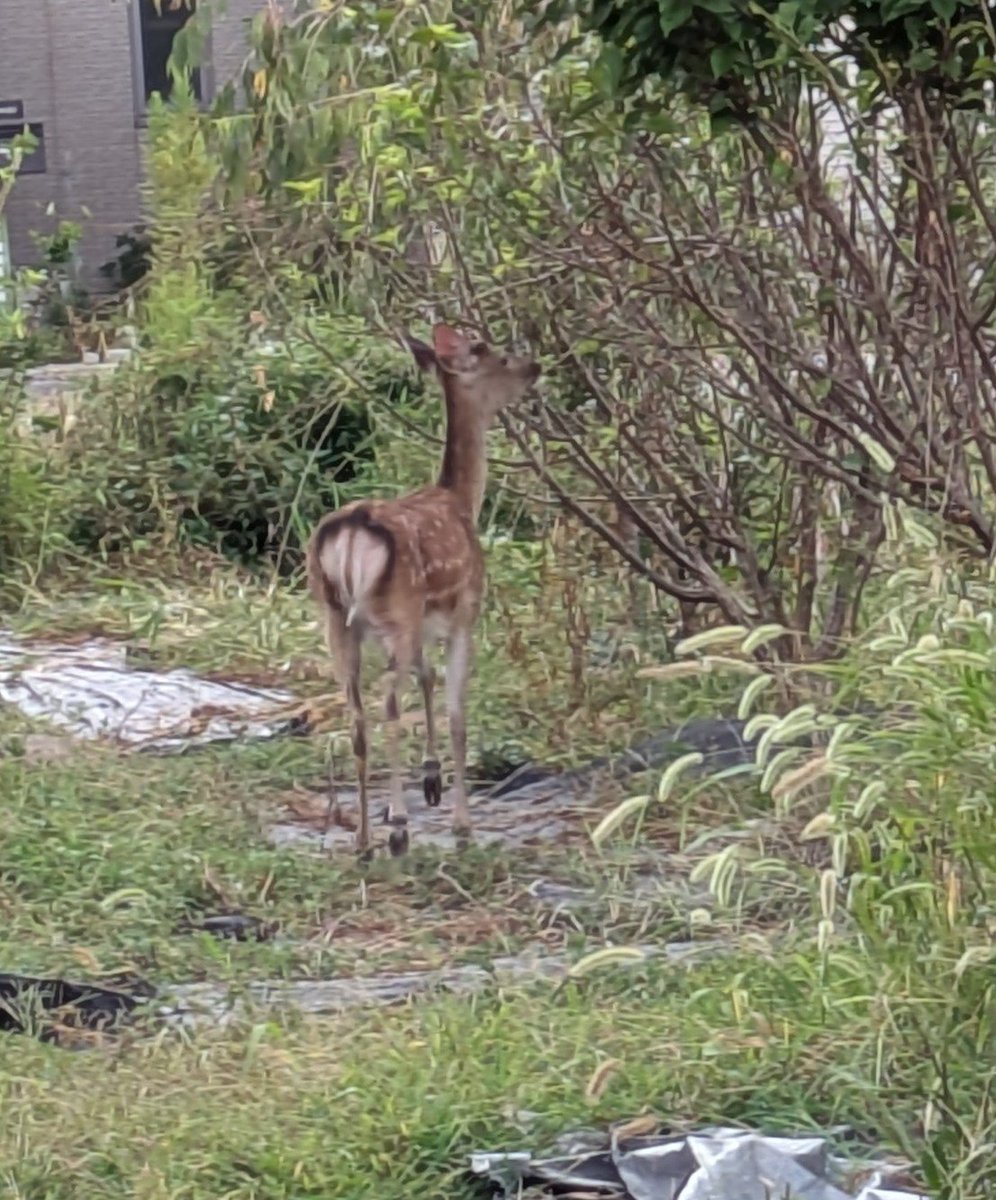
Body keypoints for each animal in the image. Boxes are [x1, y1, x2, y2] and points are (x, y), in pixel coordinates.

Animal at [306, 323, 542, 857]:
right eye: (496, 355)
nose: (535, 366)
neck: (461, 501)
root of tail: (350, 534)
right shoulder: (464, 613)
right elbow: (457, 714)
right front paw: (461, 822)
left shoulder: (424, 625)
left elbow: (428, 676)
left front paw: (432, 780)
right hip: (396, 610)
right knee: (387, 701)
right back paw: (396, 827)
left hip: (337, 620)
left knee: (356, 714)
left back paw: (363, 839)